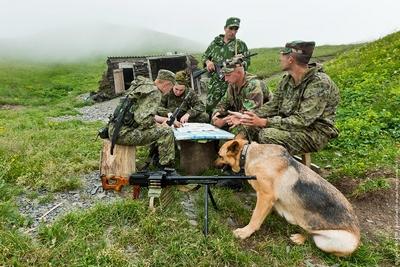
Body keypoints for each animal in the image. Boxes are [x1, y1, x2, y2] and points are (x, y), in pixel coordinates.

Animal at [217, 138, 360, 258]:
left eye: (219, 155)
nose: (214, 164)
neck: (248, 154)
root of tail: (358, 237)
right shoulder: (268, 200)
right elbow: (260, 213)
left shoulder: (265, 196)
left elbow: (255, 218)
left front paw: (245, 232)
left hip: (330, 241)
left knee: (314, 237)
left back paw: (300, 239)